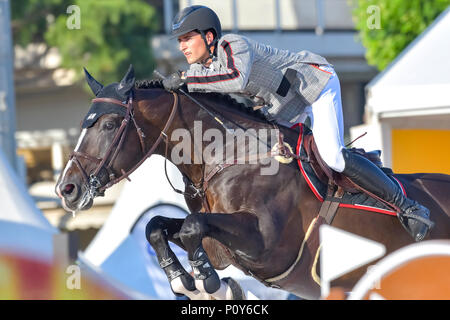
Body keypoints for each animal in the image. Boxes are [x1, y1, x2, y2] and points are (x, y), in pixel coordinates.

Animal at [55, 65, 450, 300]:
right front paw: (187, 282)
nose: (67, 189)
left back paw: (416, 215)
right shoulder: (221, 243)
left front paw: (208, 284)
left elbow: (191, 227)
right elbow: (158, 226)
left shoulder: (268, 244)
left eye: (109, 125)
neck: (228, 154)